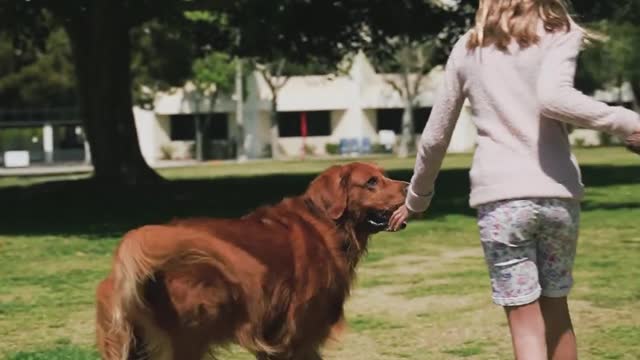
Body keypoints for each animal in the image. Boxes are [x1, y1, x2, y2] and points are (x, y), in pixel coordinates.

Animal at [96, 164, 404, 360]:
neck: (325, 224)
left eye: (384, 175)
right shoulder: (300, 335)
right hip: (187, 341)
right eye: (371, 182)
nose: (408, 186)